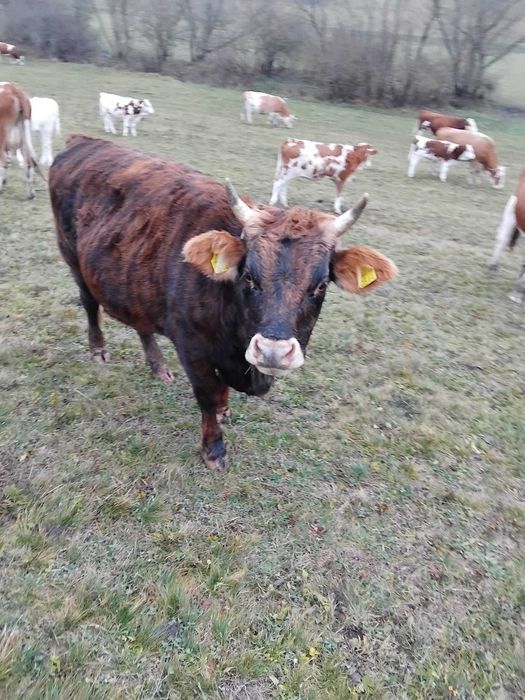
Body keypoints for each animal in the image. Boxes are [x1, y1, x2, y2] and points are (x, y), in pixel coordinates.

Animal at [49, 135, 398, 471]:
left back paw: (158, 367)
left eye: (321, 284)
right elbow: (207, 392)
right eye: (248, 276)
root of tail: (83, 142)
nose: (272, 351)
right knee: (89, 304)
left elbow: (220, 393)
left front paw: (223, 409)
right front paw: (213, 449)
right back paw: (98, 350)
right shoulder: (191, 346)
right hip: (72, 257)